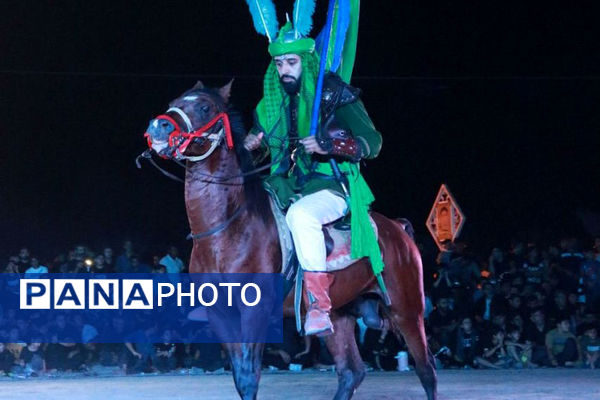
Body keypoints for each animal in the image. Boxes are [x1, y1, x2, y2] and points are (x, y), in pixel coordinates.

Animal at [144, 79, 438, 398]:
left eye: (204, 107)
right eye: (174, 102)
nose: (158, 126)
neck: (225, 231)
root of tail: (398, 229)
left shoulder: (254, 311)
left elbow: (248, 377)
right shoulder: (221, 315)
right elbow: (239, 376)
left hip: (407, 309)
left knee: (426, 370)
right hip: (339, 313)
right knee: (351, 372)